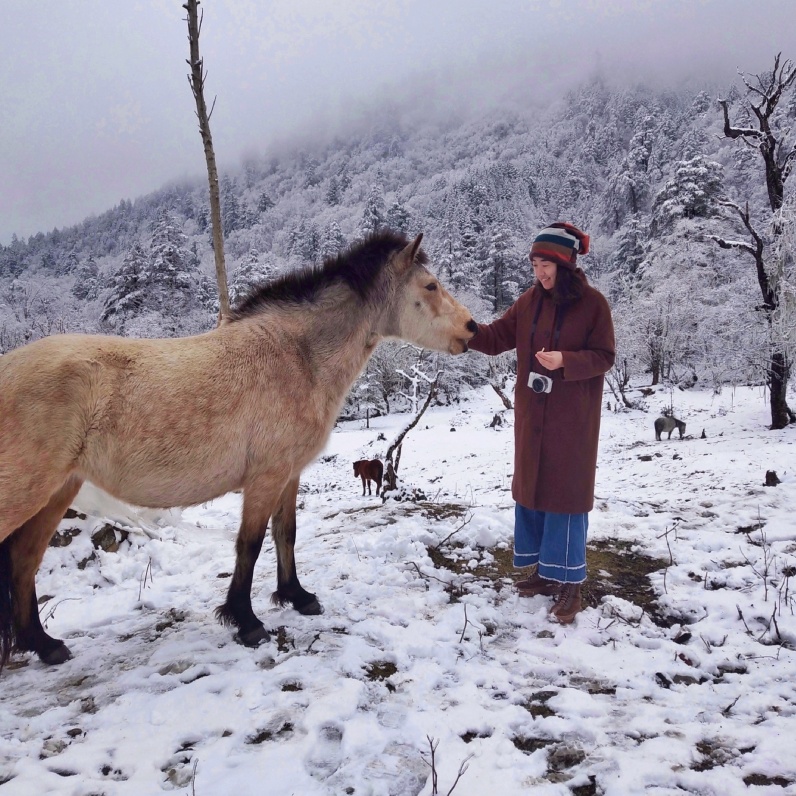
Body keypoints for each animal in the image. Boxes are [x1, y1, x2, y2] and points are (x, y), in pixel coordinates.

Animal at [0, 232, 476, 672]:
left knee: (23, 563)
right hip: (26, 492)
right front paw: (246, 622)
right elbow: (250, 543)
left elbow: (286, 534)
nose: (472, 329)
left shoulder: (289, 474)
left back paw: (46, 646)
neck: (298, 356)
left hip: (58, 491)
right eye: (430, 286)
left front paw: (297, 597)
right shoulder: (266, 477)